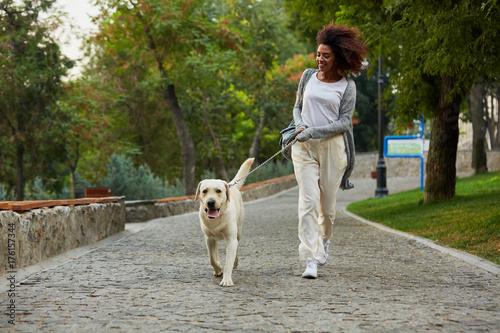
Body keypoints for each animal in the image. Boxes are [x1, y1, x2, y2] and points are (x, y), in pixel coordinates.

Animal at [193, 158, 252, 286]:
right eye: (204, 191)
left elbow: (228, 262)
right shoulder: (209, 238)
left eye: (218, 191)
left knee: (237, 247)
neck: (216, 219)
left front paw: (226, 280)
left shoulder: (231, 239)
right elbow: (212, 258)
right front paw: (218, 269)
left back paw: (235, 262)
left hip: (238, 231)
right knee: (215, 253)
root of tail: (231, 186)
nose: (210, 202)